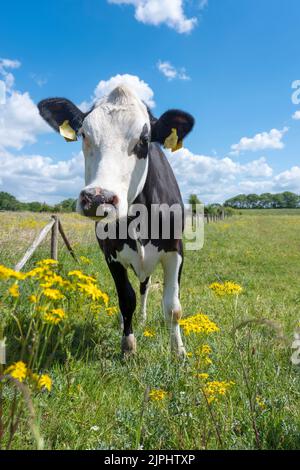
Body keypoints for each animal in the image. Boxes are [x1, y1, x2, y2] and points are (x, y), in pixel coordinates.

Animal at [37, 85, 196, 356]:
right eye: (84, 134)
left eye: (144, 140)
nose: (97, 197)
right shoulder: (110, 253)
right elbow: (125, 298)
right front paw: (128, 345)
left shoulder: (176, 249)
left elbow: (172, 307)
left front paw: (179, 352)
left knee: (144, 286)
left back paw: (143, 318)